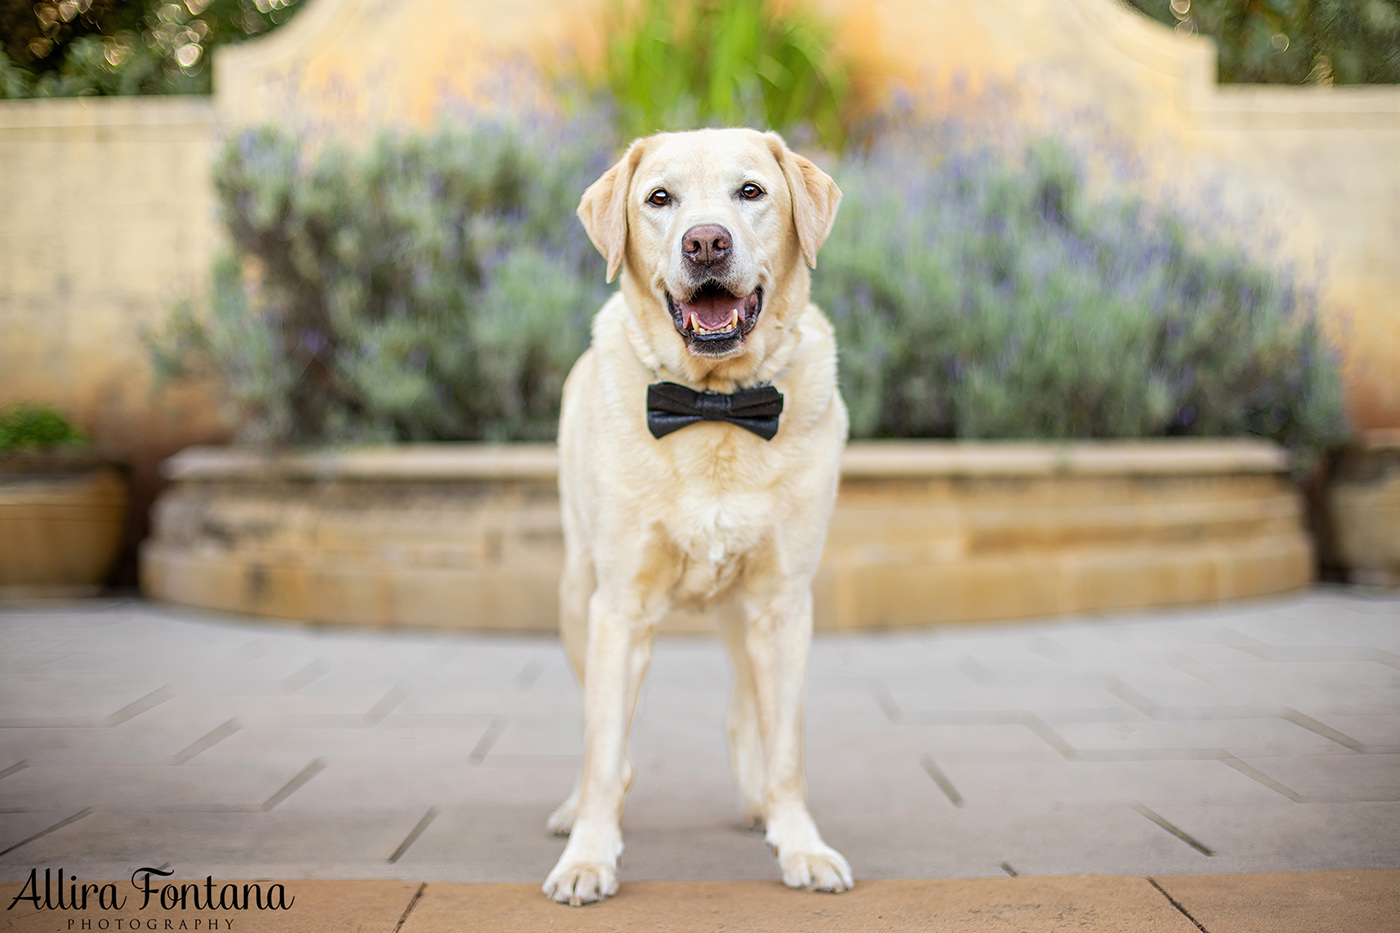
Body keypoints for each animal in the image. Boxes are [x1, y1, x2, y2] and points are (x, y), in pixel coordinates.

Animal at [543, 127, 851, 902]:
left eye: (751, 191)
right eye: (660, 198)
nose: (706, 242)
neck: (714, 407)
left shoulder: (784, 603)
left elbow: (787, 745)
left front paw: (800, 844)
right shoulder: (619, 608)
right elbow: (602, 746)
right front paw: (589, 856)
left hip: (746, 616)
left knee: (748, 706)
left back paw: (758, 803)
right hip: (576, 595)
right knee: (598, 729)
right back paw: (574, 810)